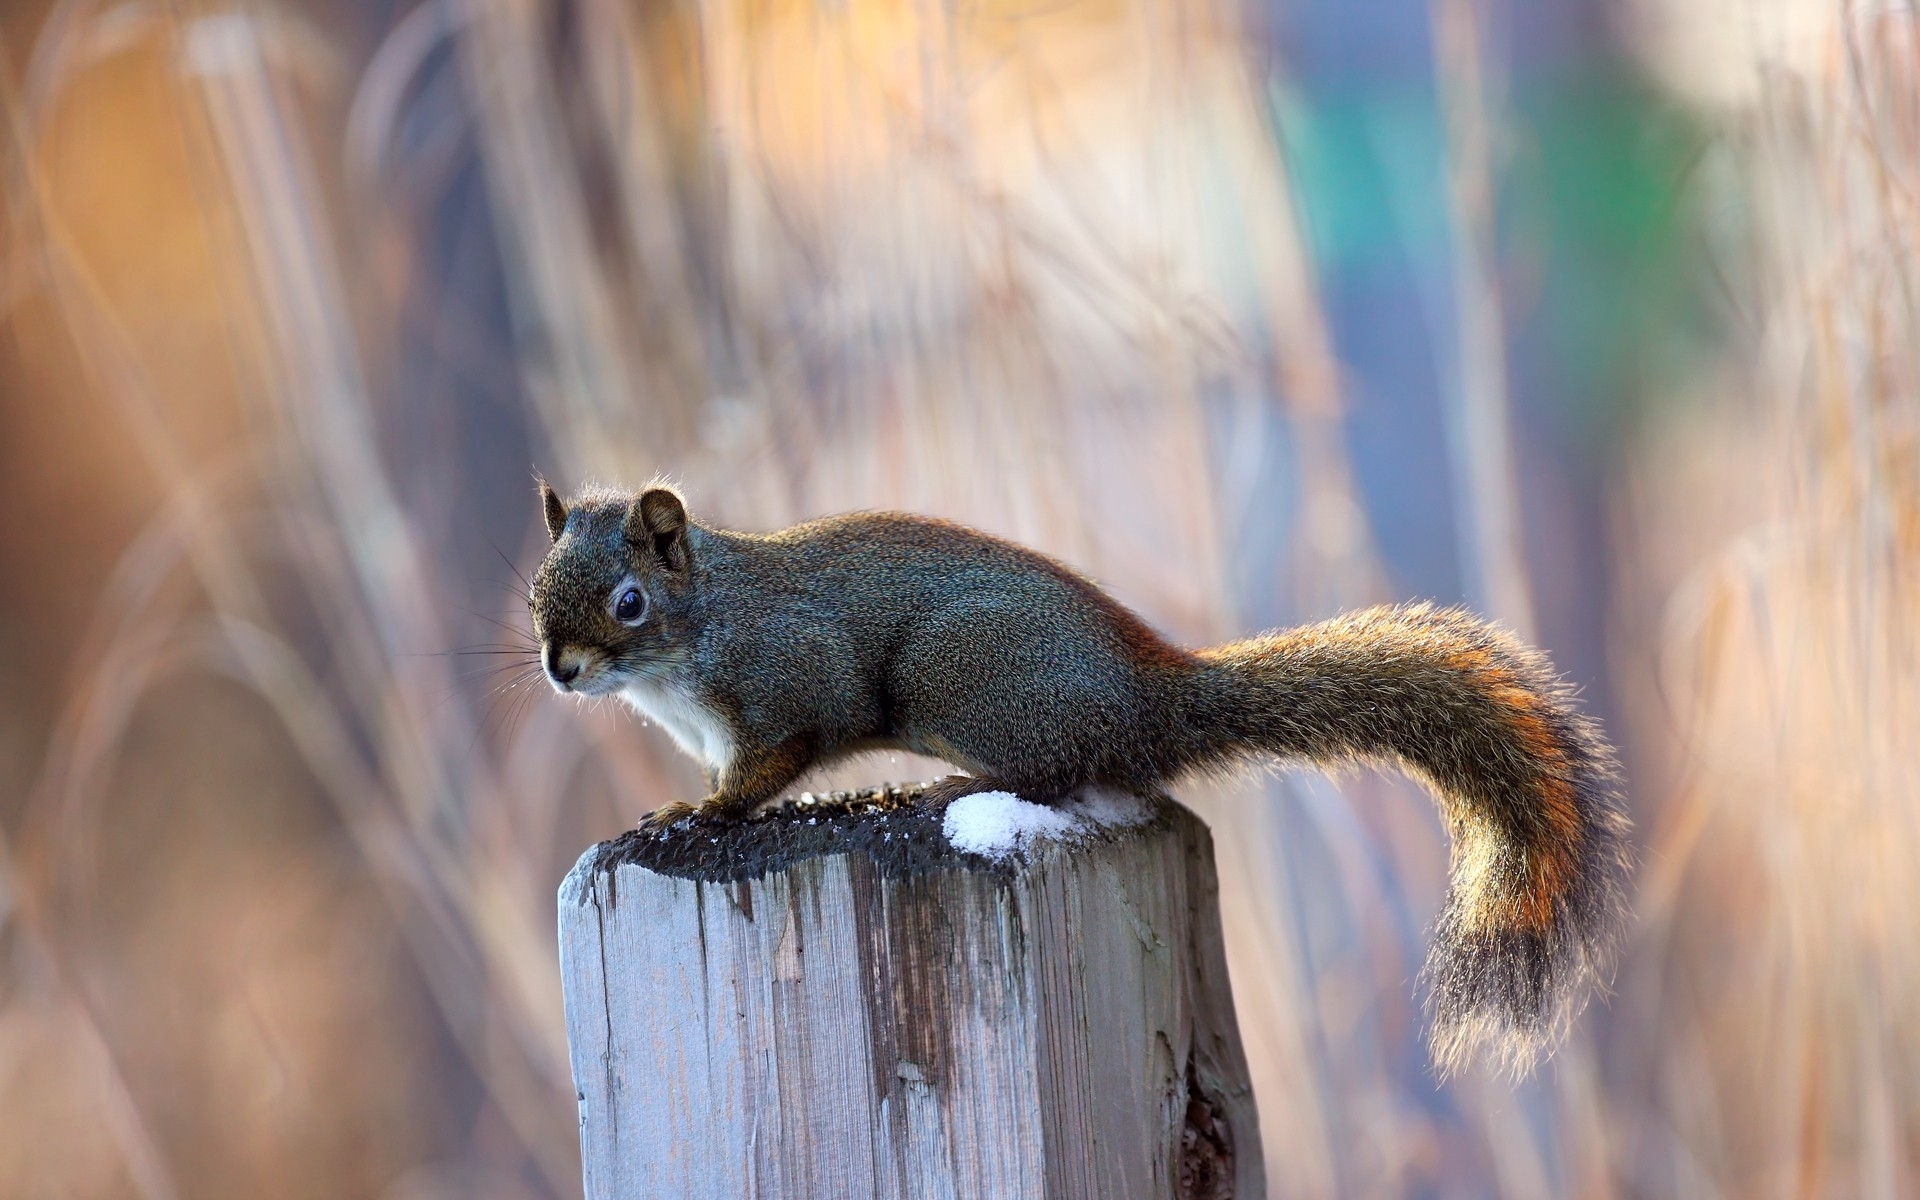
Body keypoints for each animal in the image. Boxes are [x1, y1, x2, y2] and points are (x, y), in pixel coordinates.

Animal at [529, 479, 1631, 1076]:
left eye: (628, 602)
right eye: (536, 591)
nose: (559, 670)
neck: (695, 635)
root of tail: (1150, 695)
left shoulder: (790, 683)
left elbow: (771, 764)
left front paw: (695, 813)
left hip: (958, 677)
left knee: (1061, 771)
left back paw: (948, 794)